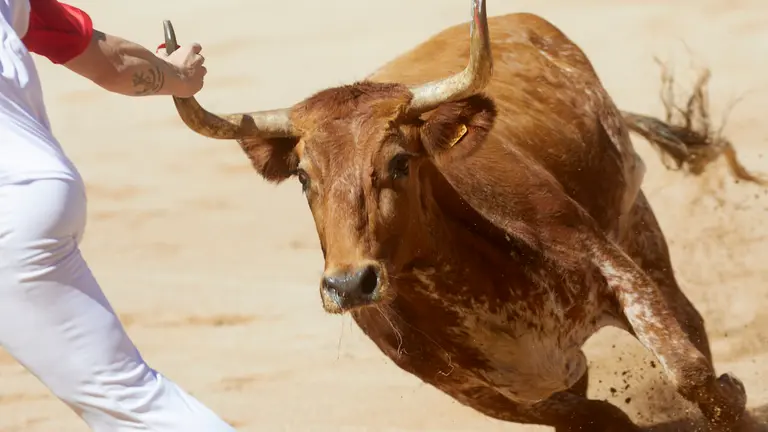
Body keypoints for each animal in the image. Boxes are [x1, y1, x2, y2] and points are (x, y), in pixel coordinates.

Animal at [161, 1, 748, 430]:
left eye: (400, 160)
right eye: (303, 176)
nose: (349, 285)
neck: (479, 278)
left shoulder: (613, 267)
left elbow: (691, 373)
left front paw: (733, 395)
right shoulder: (487, 391)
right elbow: (597, 415)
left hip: (637, 221)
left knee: (690, 322)